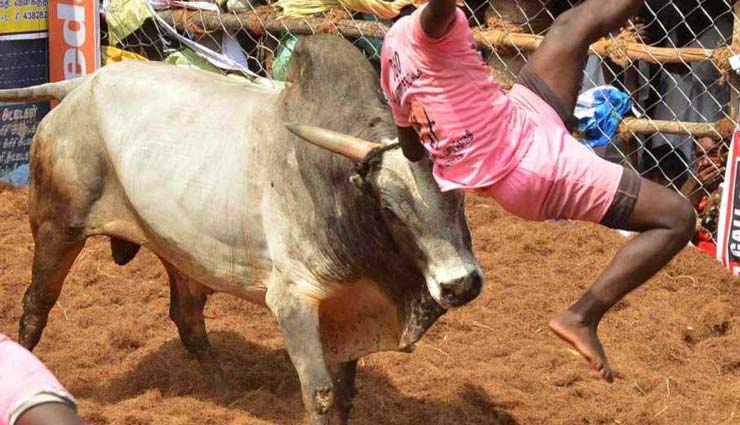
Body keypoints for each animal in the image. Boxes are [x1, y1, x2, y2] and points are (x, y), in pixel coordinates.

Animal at [0, 35, 483, 424]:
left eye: (459, 193)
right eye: (389, 208)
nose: (460, 284)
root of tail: (82, 84)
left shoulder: (346, 308)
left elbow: (346, 394)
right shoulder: (293, 301)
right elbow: (321, 395)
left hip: (177, 249)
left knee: (189, 322)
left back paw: (227, 393)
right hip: (58, 227)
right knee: (35, 306)